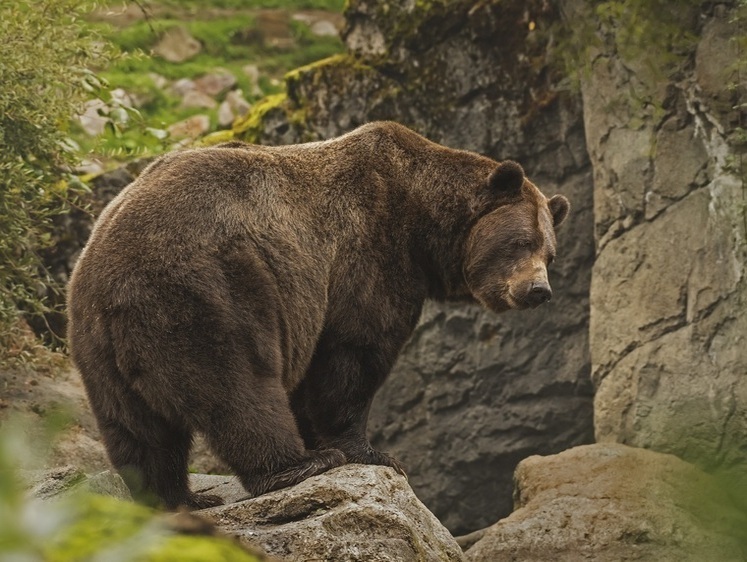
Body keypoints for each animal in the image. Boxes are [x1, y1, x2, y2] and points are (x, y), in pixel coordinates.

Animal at [67, 121, 570, 509]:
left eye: (549, 252)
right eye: (520, 243)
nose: (538, 291)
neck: (423, 223)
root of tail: (113, 284)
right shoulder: (367, 253)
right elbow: (353, 355)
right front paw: (371, 452)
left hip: (95, 341)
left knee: (137, 429)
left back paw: (178, 497)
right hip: (207, 290)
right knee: (238, 385)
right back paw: (296, 466)